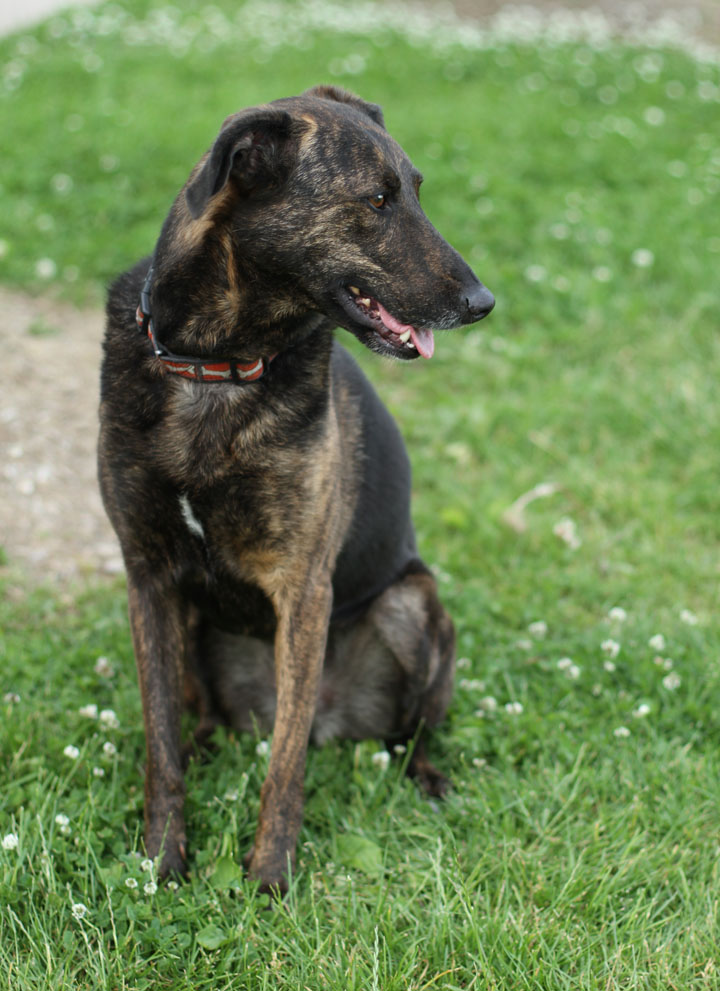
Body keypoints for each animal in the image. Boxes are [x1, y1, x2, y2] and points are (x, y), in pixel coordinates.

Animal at [97, 85, 496, 892]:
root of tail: (337, 720)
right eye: (376, 199)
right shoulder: (148, 577)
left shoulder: (303, 587)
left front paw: (269, 878)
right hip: (199, 631)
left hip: (413, 607)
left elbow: (283, 768)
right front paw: (160, 861)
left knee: (397, 732)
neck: (215, 366)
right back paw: (208, 745)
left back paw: (425, 776)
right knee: (200, 719)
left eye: (416, 191)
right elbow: (159, 746)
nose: (483, 301)